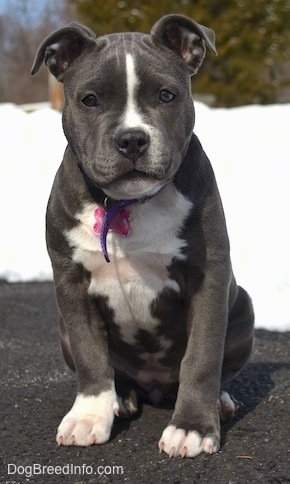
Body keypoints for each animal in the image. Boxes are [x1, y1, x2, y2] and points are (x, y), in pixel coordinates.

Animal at [31, 14, 254, 458]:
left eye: (167, 95)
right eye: (90, 100)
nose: (132, 139)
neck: (126, 204)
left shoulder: (207, 278)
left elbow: (202, 357)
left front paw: (191, 428)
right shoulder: (70, 284)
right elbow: (90, 354)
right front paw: (89, 416)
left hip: (244, 308)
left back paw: (218, 402)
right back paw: (120, 397)